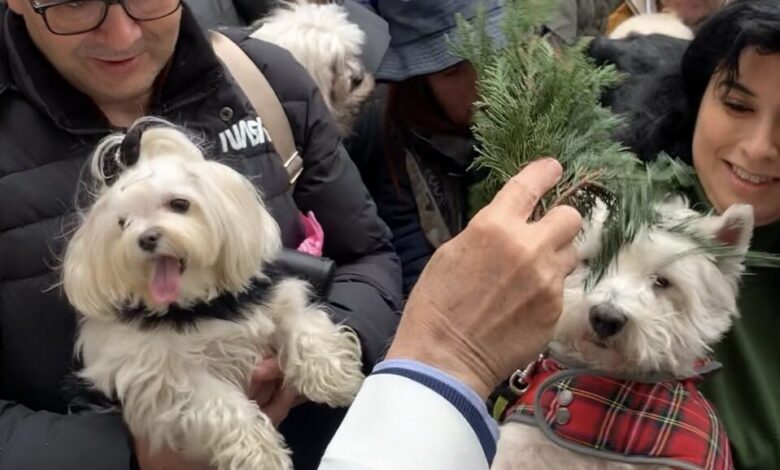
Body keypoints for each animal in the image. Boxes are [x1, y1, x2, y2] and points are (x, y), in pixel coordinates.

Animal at [62, 120, 364, 470]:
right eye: (123, 223)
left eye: (179, 204)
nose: (146, 238)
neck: (198, 304)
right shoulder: (161, 377)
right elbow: (217, 402)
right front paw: (260, 453)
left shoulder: (274, 299)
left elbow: (303, 322)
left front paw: (334, 376)